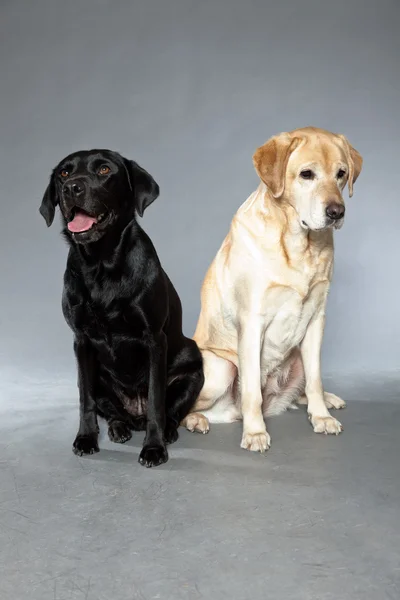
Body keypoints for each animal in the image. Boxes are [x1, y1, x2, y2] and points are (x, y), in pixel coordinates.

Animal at [39, 148, 203, 466]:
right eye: (64, 173)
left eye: (104, 170)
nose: (71, 188)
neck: (101, 264)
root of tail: (134, 415)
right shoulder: (81, 341)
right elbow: (86, 400)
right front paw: (86, 438)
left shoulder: (154, 339)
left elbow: (156, 401)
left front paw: (154, 448)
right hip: (99, 377)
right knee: (111, 411)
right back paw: (118, 428)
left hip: (193, 366)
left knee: (169, 411)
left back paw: (167, 432)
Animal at [181, 127, 362, 454]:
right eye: (307, 174)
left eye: (341, 174)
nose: (336, 212)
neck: (299, 244)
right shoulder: (252, 321)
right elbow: (252, 388)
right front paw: (255, 433)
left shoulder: (316, 320)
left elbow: (315, 381)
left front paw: (322, 417)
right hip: (221, 367)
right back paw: (196, 420)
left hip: (298, 355)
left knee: (306, 387)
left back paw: (326, 400)